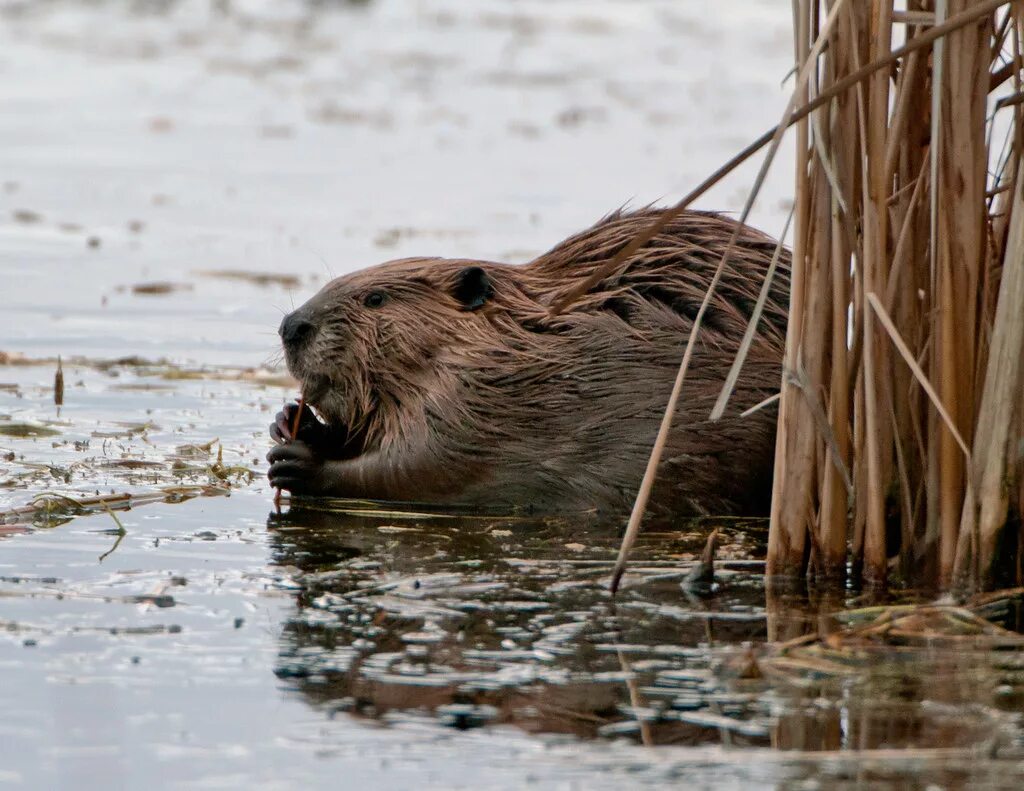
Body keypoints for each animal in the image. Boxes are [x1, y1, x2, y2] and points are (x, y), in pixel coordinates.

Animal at [268, 210, 786, 516]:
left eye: (375, 298)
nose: (292, 325)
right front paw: (292, 421)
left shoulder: (474, 409)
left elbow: (415, 469)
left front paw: (299, 461)